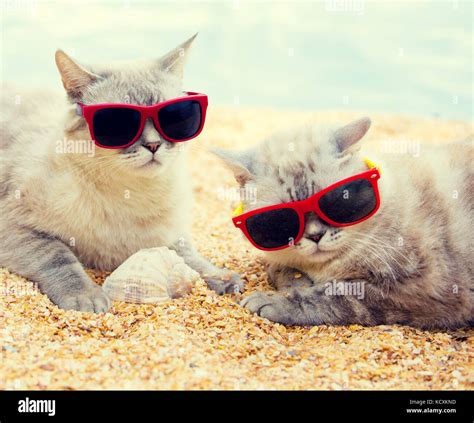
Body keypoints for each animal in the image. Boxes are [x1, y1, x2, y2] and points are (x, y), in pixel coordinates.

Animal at [0, 34, 243, 314]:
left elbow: (191, 258)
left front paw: (223, 278)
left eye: (175, 117)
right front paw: (86, 298)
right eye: (117, 124)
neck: (131, 195)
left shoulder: (168, 236)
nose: (153, 145)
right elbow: (59, 258)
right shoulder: (19, 227)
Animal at [216, 117, 474, 330]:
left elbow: (337, 294)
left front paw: (275, 300)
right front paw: (297, 282)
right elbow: (281, 270)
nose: (315, 235)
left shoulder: (423, 286)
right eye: (279, 220)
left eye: (340, 200)